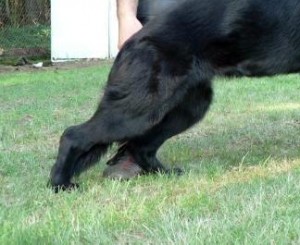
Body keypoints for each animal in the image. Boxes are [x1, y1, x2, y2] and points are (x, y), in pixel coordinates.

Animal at [49, 0, 300, 191]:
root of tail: (135, 39)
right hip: (141, 110)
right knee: (73, 135)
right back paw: (60, 184)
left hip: (187, 108)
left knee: (141, 147)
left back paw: (164, 174)